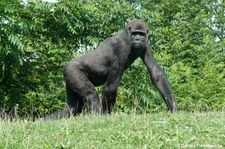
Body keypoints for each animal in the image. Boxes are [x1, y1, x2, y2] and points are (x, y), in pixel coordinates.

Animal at [45, 19, 178, 120]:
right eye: (135, 33)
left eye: (141, 34)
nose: (138, 40)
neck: (126, 34)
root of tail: (66, 66)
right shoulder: (121, 47)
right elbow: (111, 87)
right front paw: (106, 116)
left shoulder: (146, 44)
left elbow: (156, 73)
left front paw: (174, 107)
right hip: (72, 71)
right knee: (91, 95)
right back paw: (95, 117)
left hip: (68, 76)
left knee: (74, 106)